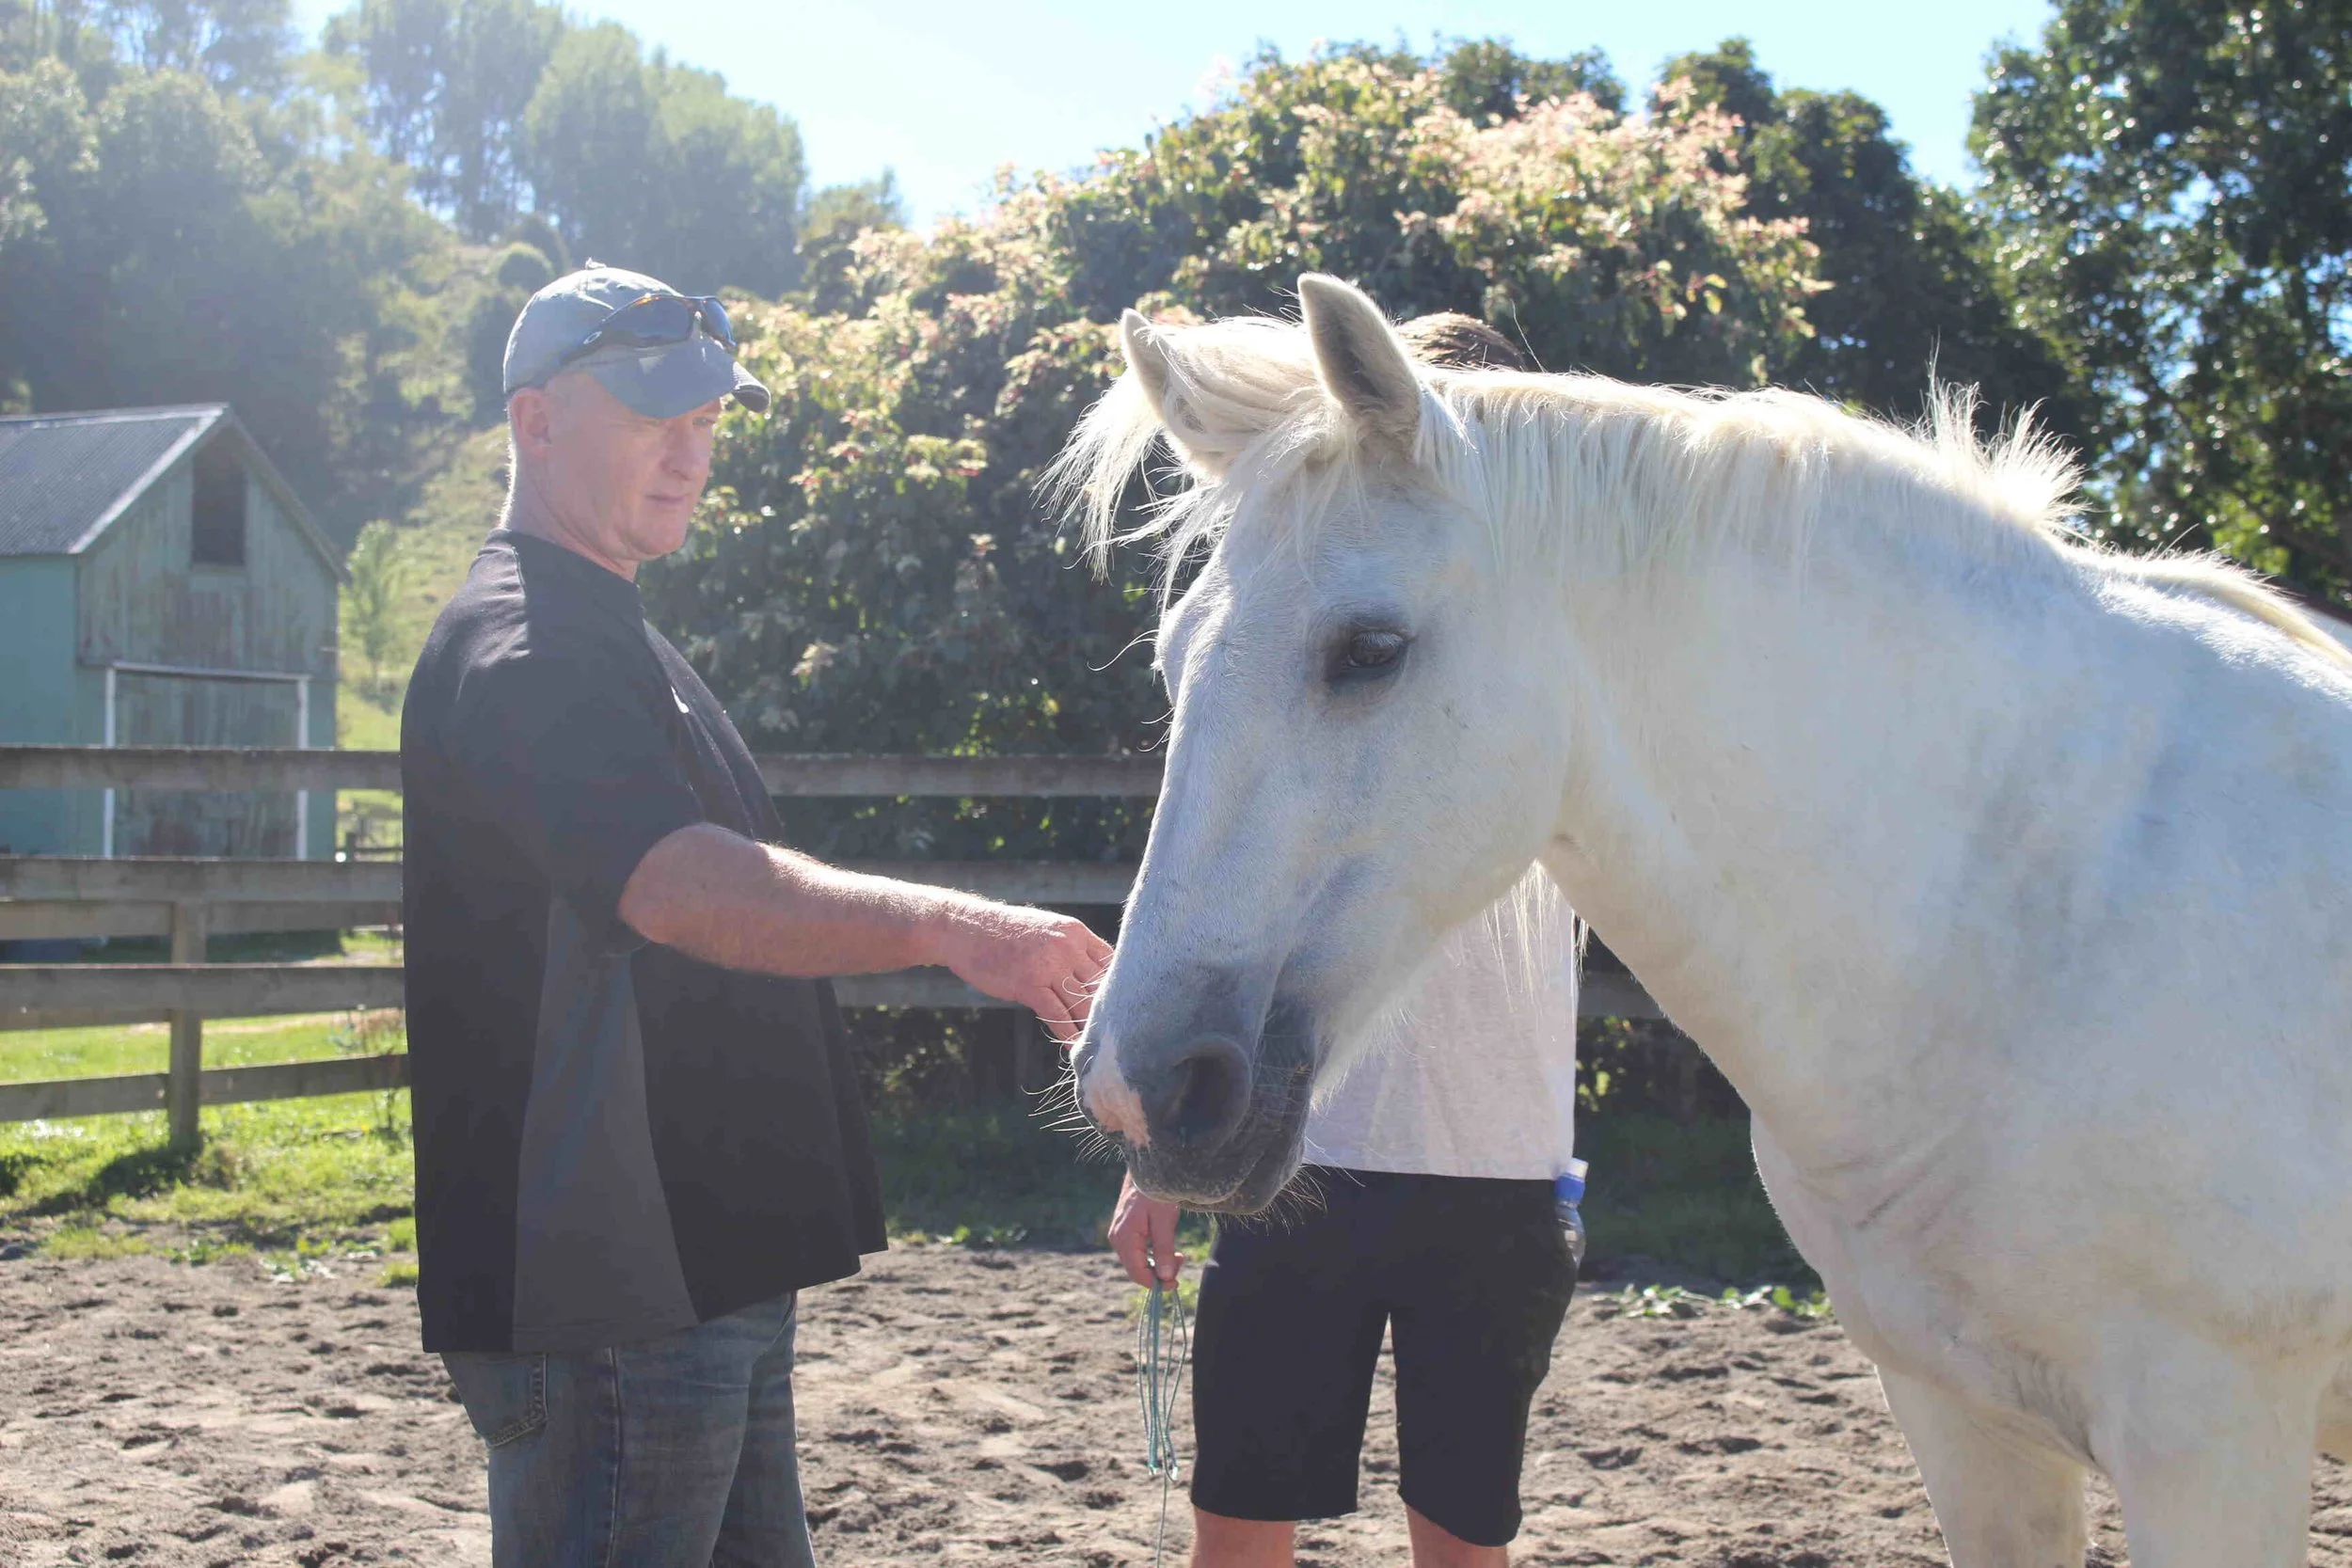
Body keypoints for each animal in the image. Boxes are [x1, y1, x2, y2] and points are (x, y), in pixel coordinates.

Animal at [1050, 272, 2352, 1565]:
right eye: (1172, 659)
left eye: (1370, 648)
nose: (1137, 1085)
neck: (2025, 908)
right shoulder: (1968, 1425)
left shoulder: (2209, 1439)